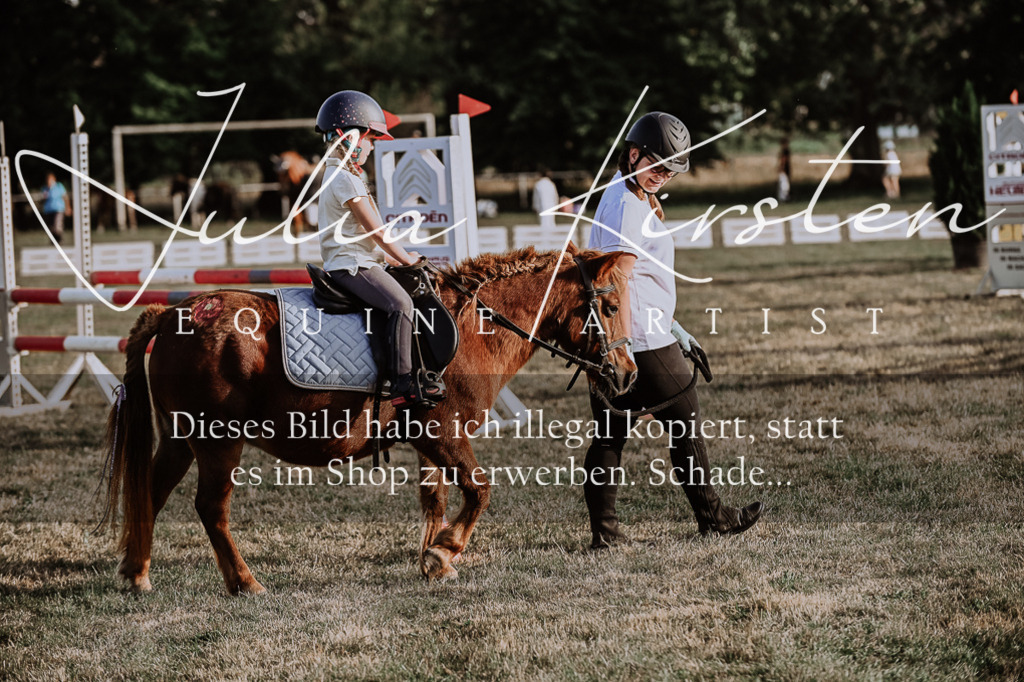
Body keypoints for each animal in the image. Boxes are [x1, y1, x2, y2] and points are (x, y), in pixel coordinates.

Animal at [102, 244, 637, 594]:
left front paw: (434, 561)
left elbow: (437, 498)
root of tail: (177, 313)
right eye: (610, 306)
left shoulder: (427, 440)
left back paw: (136, 572)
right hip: (218, 442)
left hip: (180, 439)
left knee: (151, 492)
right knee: (211, 508)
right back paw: (244, 582)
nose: (628, 374)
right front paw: (444, 551)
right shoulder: (443, 433)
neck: (469, 328)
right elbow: (480, 490)